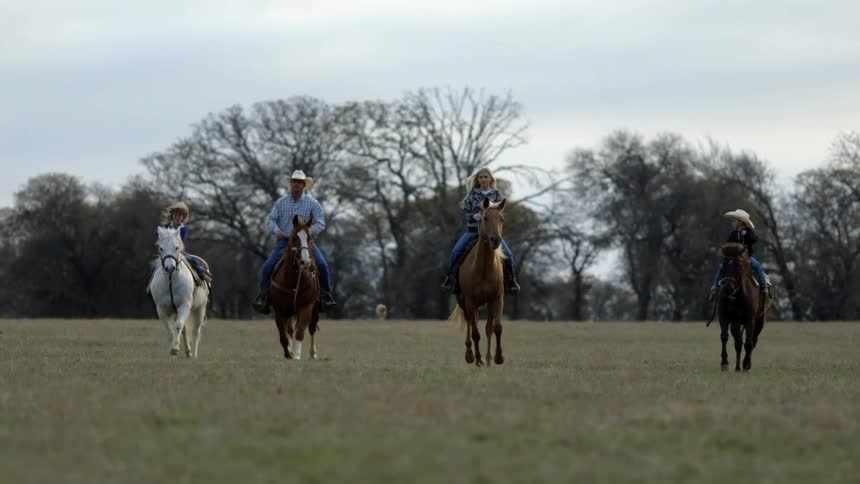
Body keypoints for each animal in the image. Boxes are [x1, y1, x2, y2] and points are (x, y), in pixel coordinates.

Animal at [149, 226, 209, 357]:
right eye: (161, 248)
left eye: (176, 247)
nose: (170, 268)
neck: (171, 280)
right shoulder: (161, 309)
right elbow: (170, 331)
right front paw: (173, 349)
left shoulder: (184, 305)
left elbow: (178, 325)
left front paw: (175, 348)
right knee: (185, 329)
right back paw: (188, 351)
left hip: (200, 309)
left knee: (196, 332)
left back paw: (194, 354)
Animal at [269, 215, 321, 360]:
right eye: (294, 237)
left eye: (310, 237)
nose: (305, 261)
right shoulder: (280, 311)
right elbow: (283, 336)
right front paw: (289, 353)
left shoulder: (306, 307)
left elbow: (300, 332)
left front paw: (297, 355)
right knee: (289, 330)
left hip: (314, 309)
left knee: (312, 328)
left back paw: (313, 353)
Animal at [448, 198, 507, 367]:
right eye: (485, 218)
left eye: (501, 219)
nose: (495, 240)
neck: (484, 267)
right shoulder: (470, 301)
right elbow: (475, 333)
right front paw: (477, 359)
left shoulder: (497, 299)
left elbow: (496, 328)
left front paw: (498, 357)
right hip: (464, 302)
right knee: (469, 323)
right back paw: (470, 355)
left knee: (488, 328)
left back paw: (488, 359)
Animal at [715, 243, 766, 371]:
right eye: (724, 264)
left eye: (738, 265)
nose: (728, 286)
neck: (736, 296)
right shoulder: (725, 318)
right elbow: (724, 337)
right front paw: (724, 363)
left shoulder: (749, 320)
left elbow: (748, 343)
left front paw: (746, 363)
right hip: (736, 323)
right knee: (738, 343)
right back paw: (737, 367)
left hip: (759, 321)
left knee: (753, 340)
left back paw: (745, 363)